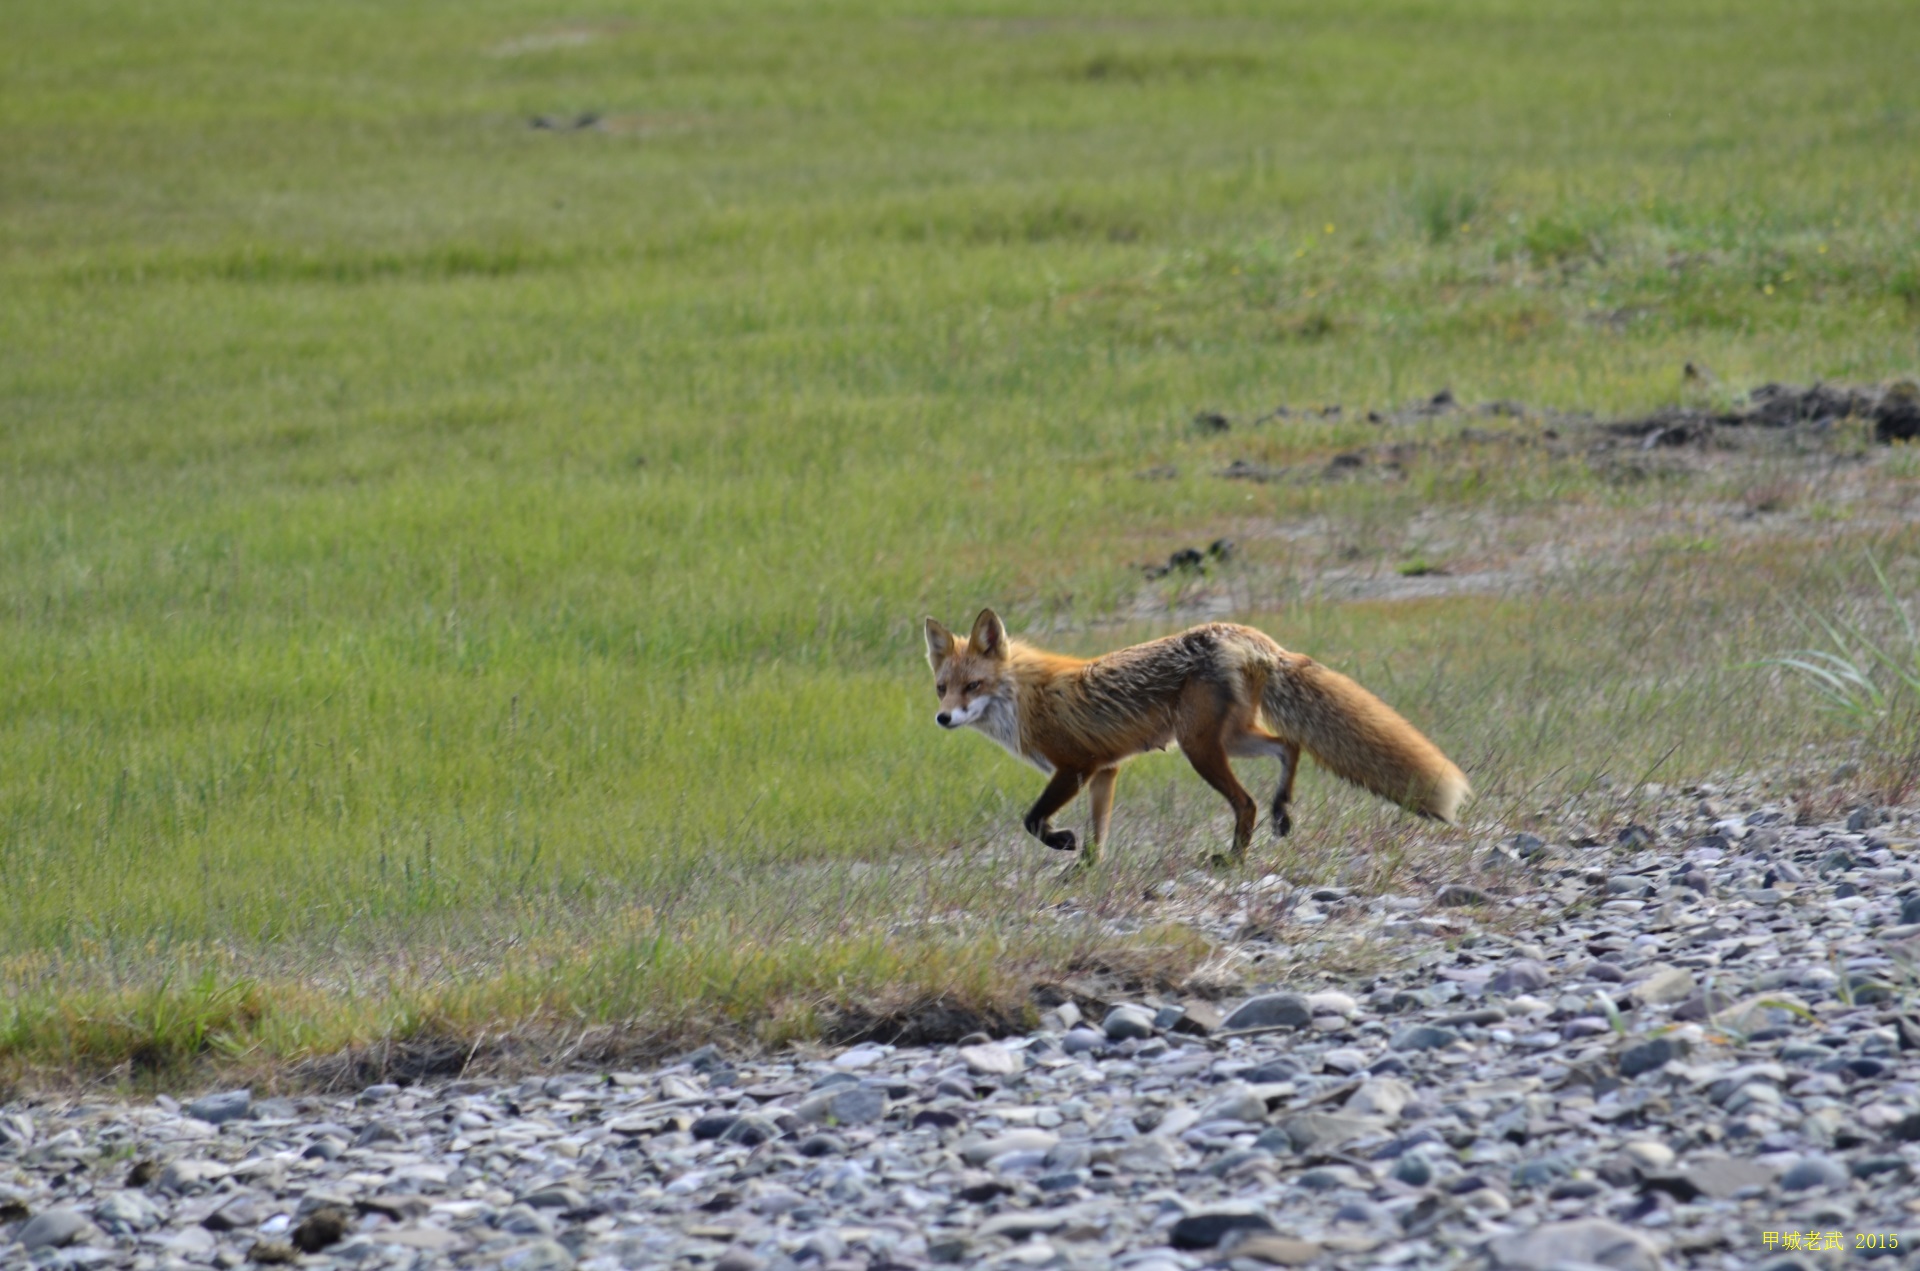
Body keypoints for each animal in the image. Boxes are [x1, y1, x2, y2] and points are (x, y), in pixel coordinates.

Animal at [921, 606, 1459, 867]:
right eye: (942, 688)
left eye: (973, 686)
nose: (942, 719)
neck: (1023, 698)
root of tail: (1246, 634)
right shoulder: (1105, 771)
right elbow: (1099, 835)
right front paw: (1085, 870)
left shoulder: (1074, 768)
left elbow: (1032, 821)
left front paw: (1062, 843)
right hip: (1231, 738)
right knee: (1290, 746)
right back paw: (1283, 812)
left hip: (1199, 747)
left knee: (1246, 802)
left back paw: (1234, 858)